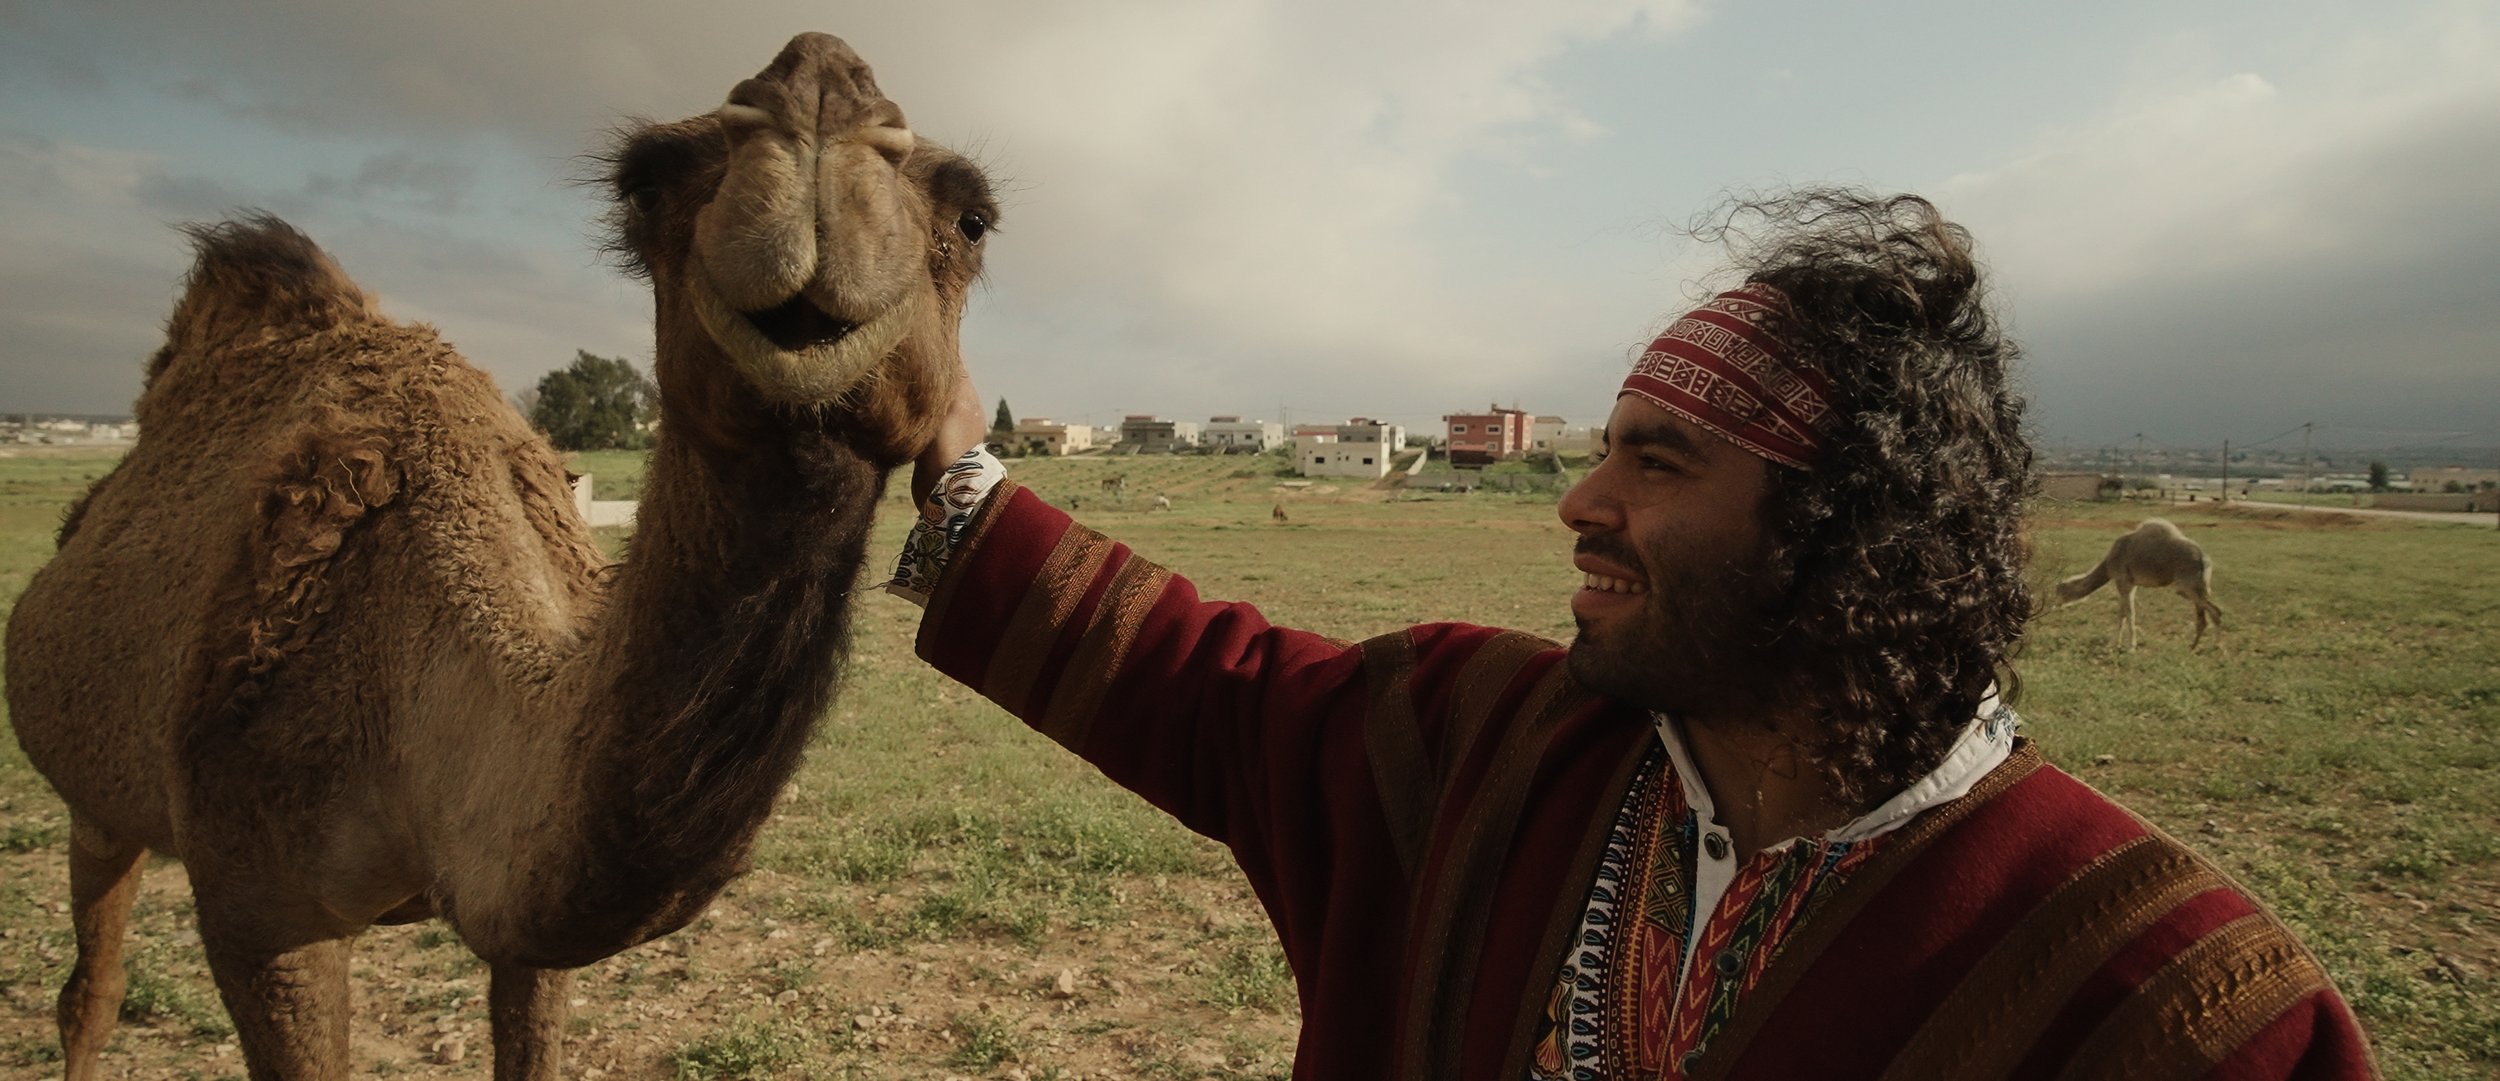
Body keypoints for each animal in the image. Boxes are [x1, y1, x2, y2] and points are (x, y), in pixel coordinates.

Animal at [3, 33, 999, 1081]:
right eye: (643, 186)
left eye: (972, 218)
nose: (817, 88)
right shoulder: (256, 912)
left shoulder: (523, 934)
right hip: (95, 801)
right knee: (92, 988)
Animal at [2052, 518, 2225, 651]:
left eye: (2058, 592)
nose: (2054, 606)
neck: (2108, 563)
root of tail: (2204, 558)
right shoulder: (2130, 585)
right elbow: (2123, 614)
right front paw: (2115, 644)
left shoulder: (2122, 581)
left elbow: (2128, 614)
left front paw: (2130, 647)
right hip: (2193, 587)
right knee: (2202, 617)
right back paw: (2193, 647)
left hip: (2186, 586)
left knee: (2215, 611)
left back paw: (2217, 647)